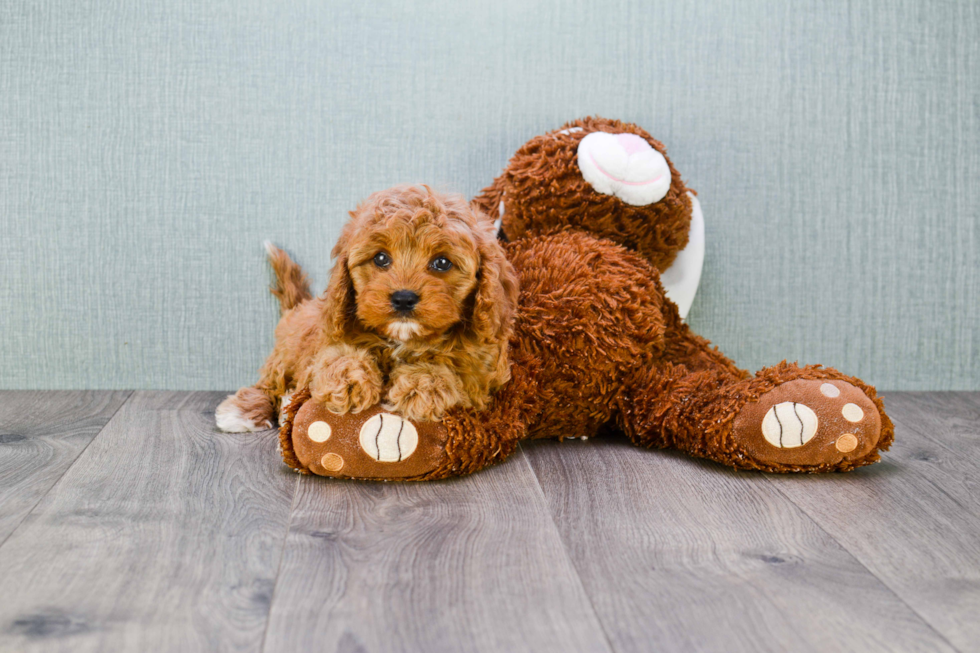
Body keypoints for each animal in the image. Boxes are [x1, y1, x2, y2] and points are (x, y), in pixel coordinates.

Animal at [215, 183, 520, 430]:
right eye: (381, 258)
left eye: (442, 262)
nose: (404, 298)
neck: (402, 339)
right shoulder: (325, 342)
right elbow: (334, 357)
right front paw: (349, 380)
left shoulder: (481, 376)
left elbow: (454, 373)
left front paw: (422, 385)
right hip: (287, 351)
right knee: (269, 384)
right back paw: (244, 411)